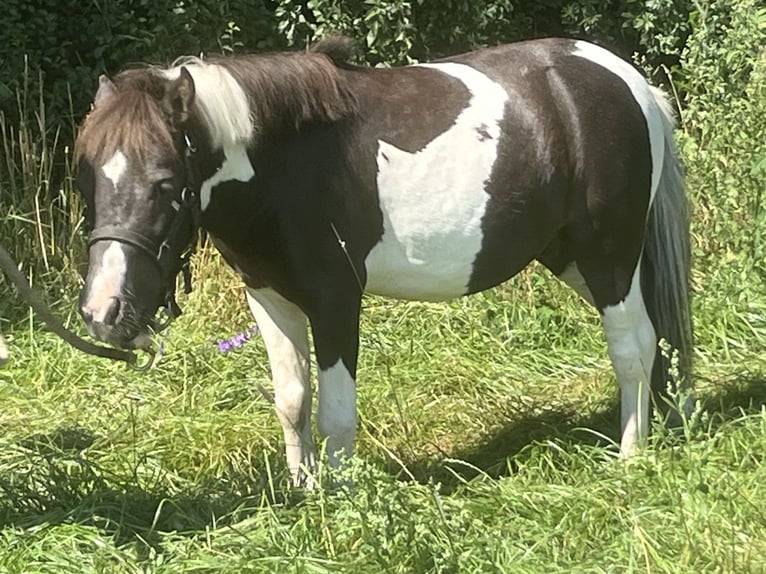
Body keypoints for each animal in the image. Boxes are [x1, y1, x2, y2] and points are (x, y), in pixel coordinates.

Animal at [75, 37, 692, 486]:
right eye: (89, 177)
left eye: (164, 183)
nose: (104, 311)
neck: (287, 167)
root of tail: (625, 78)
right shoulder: (269, 298)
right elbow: (292, 400)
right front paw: (303, 492)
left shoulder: (335, 302)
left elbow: (336, 412)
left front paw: (345, 499)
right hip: (571, 257)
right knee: (654, 339)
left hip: (608, 255)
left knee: (633, 346)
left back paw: (631, 457)